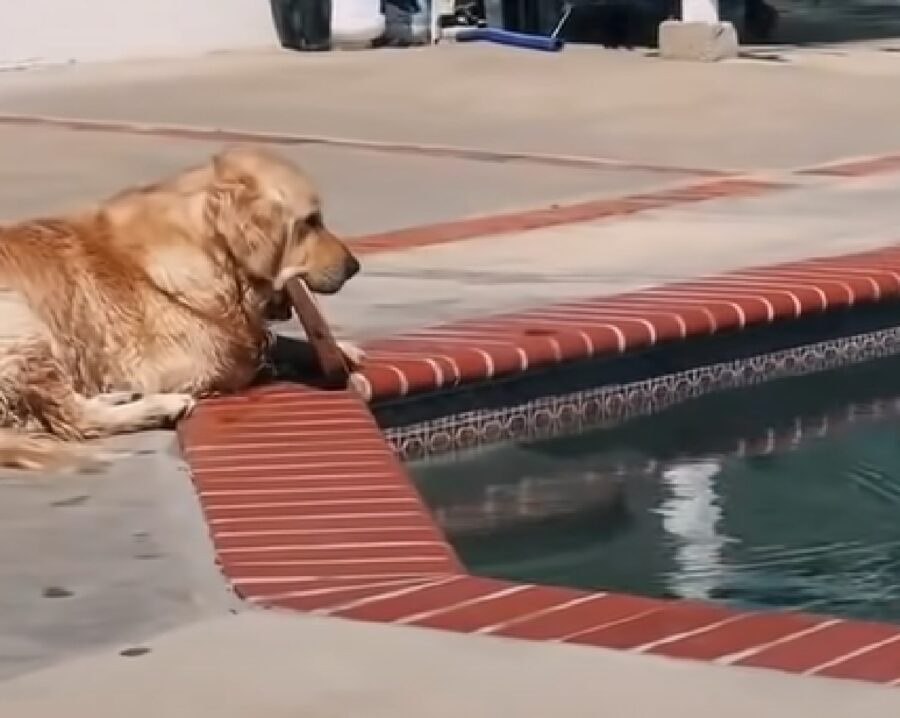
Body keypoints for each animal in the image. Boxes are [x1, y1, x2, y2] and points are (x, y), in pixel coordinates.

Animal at [0, 145, 358, 472]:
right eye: (311, 222)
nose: (354, 266)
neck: (210, 248)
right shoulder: (175, 363)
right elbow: (243, 355)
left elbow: (270, 341)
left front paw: (344, 350)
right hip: (21, 319)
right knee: (71, 418)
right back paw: (159, 406)